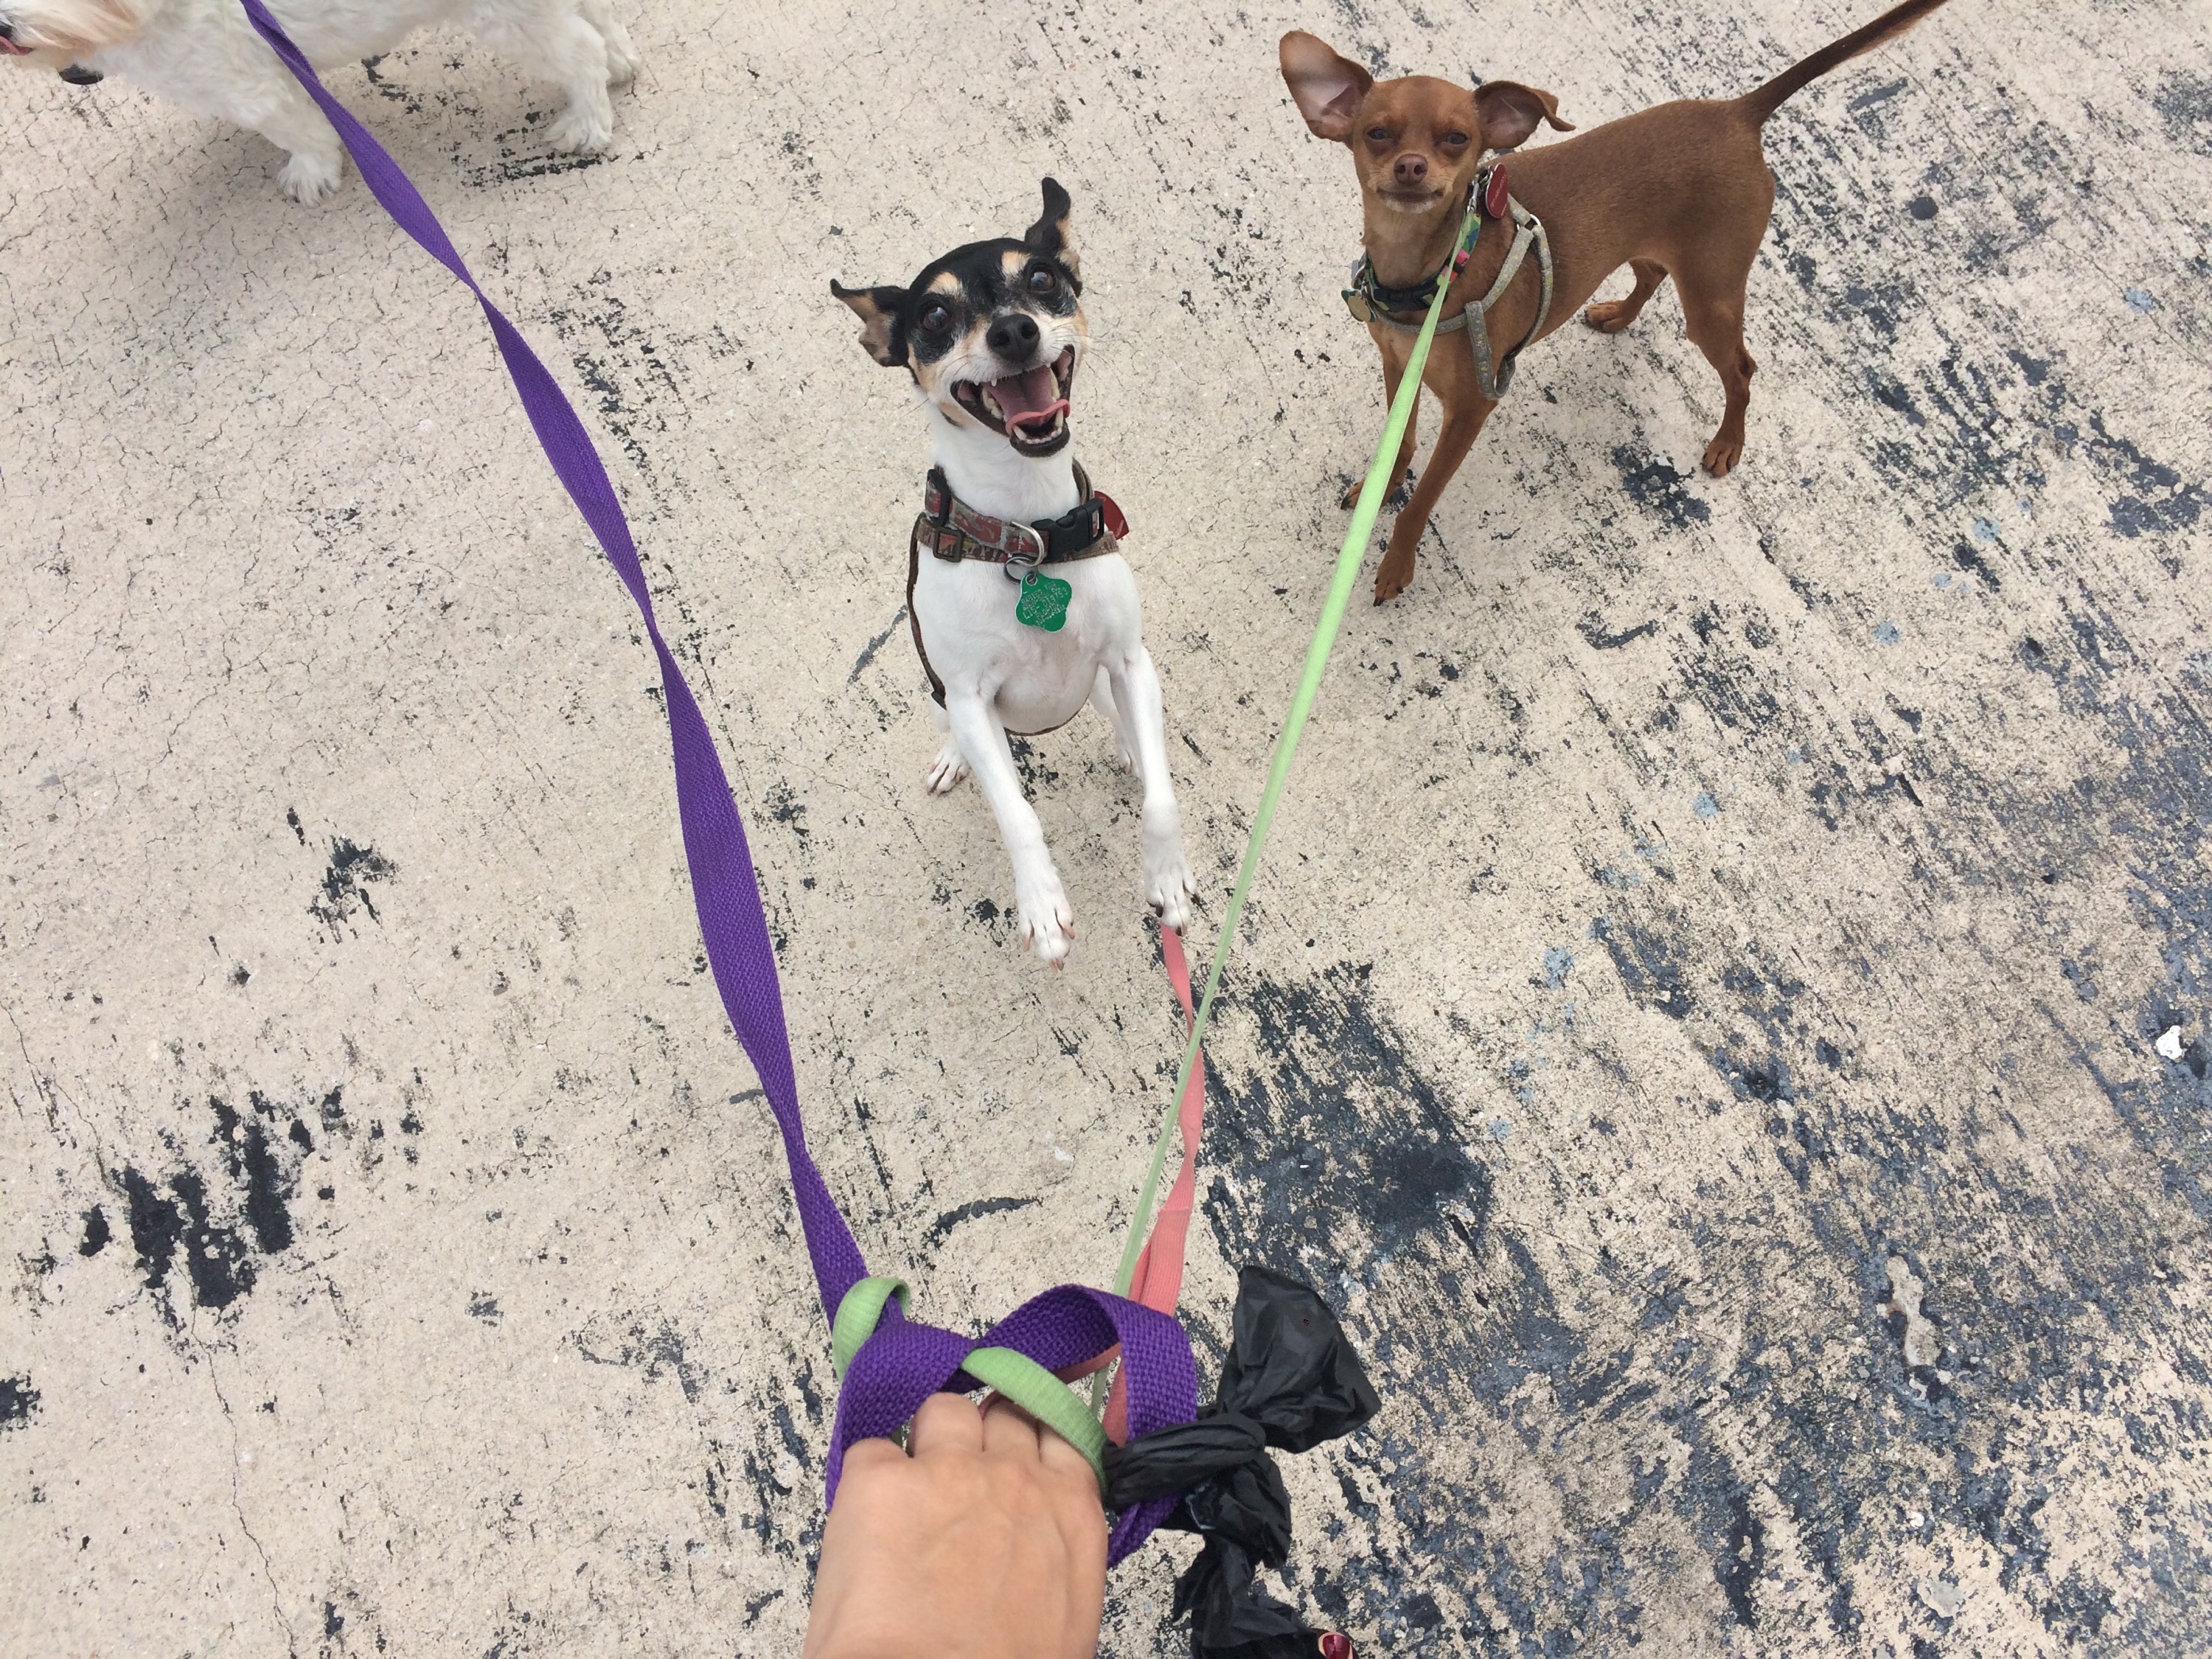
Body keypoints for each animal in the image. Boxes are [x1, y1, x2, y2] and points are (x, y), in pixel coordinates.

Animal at [0, 0, 639, 201]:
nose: (3, 27)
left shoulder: (251, 87)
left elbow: (304, 134)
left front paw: (312, 173)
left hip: (508, 16)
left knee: (579, 50)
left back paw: (587, 121)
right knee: (601, 19)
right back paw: (621, 63)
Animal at [832, 180, 1196, 967]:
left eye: (1041, 279)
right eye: (935, 316)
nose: (1013, 333)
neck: (1029, 541)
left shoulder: (1131, 659)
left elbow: (1161, 799)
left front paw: (1167, 875)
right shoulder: (971, 698)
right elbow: (1018, 814)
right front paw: (1041, 905)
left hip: (1107, 683)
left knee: (1121, 721)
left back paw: (1130, 744)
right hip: (944, 697)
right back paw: (955, 760)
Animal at [1281, 0, 1953, 603]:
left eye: (1457, 139)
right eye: (1376, 134)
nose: (1412, 166)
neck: (1433, 271)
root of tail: (1737, 112)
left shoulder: (1472, 408)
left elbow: (1422, 501)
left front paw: (1396, 560)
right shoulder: (1399, 367)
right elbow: (1400, 447)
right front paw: (1377, 489)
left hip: (1710, 300)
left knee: (1741, 368)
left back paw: (1727, 442)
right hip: (1653, 250)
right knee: (1652, 273)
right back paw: (1617, 315)